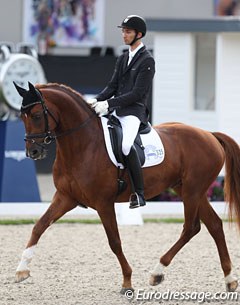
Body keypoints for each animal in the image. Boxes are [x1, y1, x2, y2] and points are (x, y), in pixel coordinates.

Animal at [15, 81, 240, 292]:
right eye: (21, 117)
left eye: (36, 115)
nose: (32, 152)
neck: (83, 145)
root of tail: (209, 135)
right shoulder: (65, 197)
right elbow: (39, 225)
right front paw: (21, 270)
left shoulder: (103, 203)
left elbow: (114, 242)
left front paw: (127, 282)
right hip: (188, 190)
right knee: (214, 225)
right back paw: (229, 280)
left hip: (193, 191)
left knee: (191, 228)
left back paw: (157, 272)